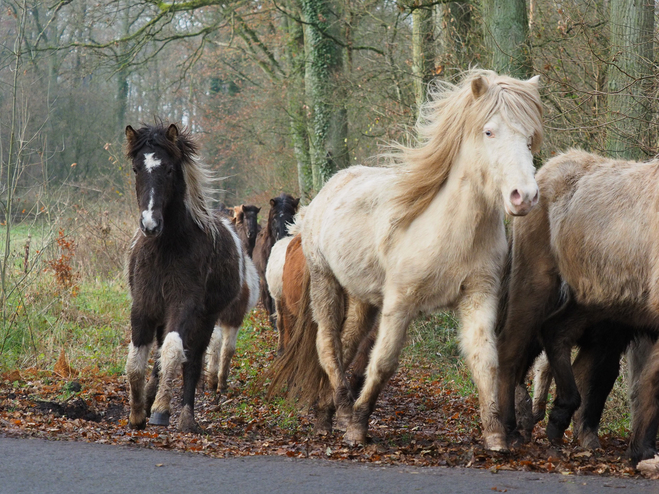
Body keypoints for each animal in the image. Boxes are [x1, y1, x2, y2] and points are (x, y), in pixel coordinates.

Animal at [123, 122, 248, 432]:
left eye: (169, 169)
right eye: (136, 168)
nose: (150, 225)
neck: (167, 248)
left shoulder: (184, 305)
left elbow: (172, 352)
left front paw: (160, 410)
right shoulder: (143, 306)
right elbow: (136, 362)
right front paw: (137, 413)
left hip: (206, 318)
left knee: (191, 361)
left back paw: (186, 417)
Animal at [276, 69, 544, 452]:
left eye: (529, 137)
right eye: (489, 131)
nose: (525, 197)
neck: (452, 230)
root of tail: (327, 190)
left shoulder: (479, 296)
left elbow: (485, 361)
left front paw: (495, 435)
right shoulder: (400, 302)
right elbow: (383, 363)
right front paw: (358, 427)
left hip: (363, 300)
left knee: (346, 347)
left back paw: (327, 414)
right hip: (326, 283)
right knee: (328, 348)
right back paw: (341, 414)